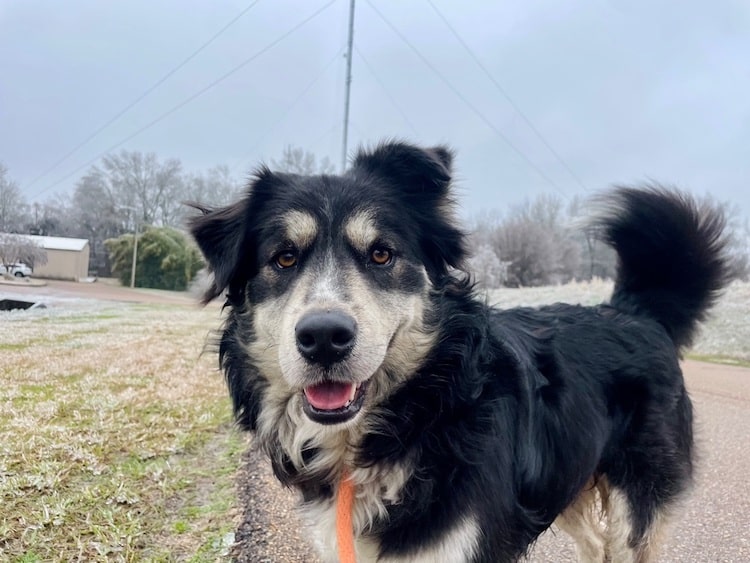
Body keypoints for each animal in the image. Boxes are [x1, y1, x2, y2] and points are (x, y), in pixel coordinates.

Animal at [189, 143, 736, 560]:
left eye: (381, 254)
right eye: (284, 258)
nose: (324, 337)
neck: (419, 411)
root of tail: (636, 312)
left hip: (638, 498)